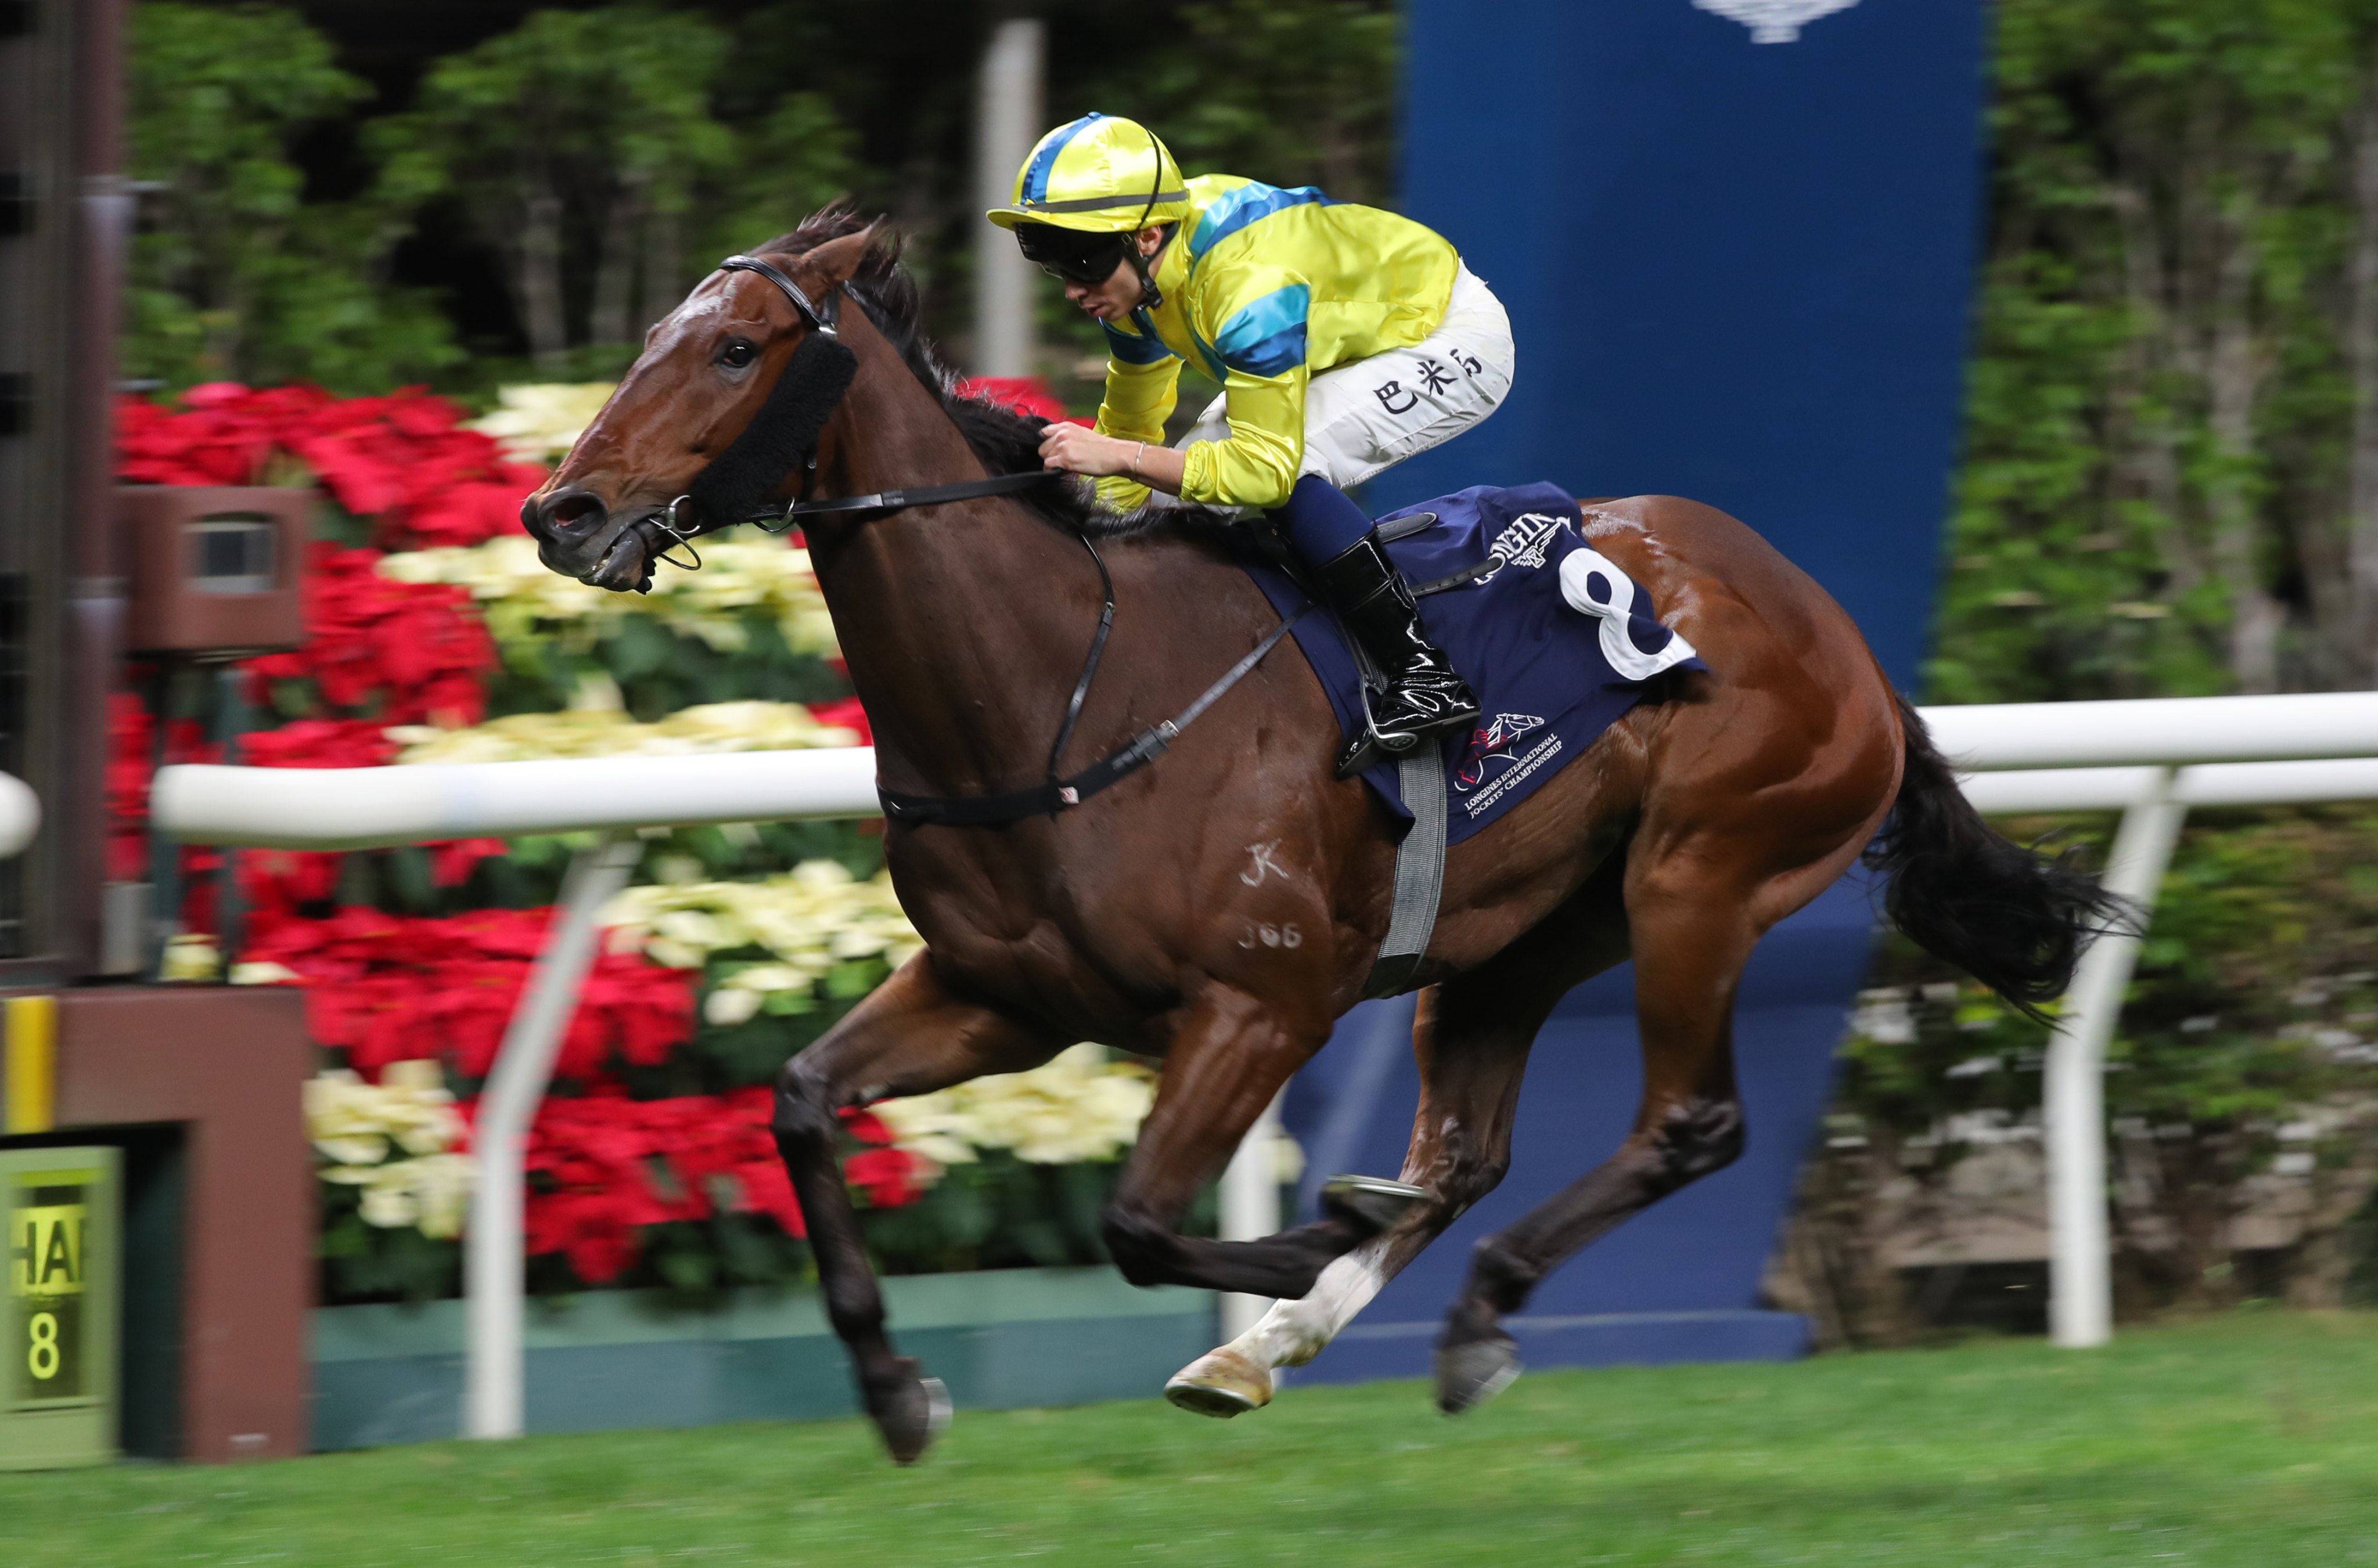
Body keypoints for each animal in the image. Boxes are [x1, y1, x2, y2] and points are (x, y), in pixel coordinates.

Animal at [525, 208, 2121, 1454]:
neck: (1055, 690)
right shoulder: (1000, 994)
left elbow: (1138, 1219)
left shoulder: (1263, 999)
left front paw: (1312, 1233)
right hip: (1524, 937)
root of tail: (1841, 639)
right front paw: (891, 1385)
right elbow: (801, 1101)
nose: (563, 509)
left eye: (735, 350)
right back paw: (1272, 1344)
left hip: (1702, 876)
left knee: (1687, 1120)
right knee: (1462, 1154)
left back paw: (1458, 1311)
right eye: (656, 336)